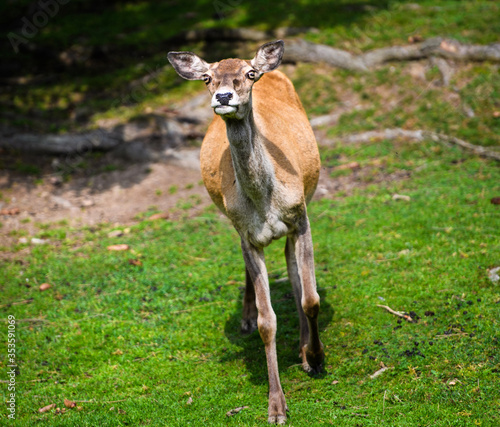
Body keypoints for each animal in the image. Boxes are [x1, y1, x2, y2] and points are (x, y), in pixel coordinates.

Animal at [168, 40, 324, 424]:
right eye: (207, 77)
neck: (265, 201)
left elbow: (311, 299)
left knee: (294, 270)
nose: (224, 96)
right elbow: (269, 323)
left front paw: (314, 358)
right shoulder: (249, 236)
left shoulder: (302, 218)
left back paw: (303, 346)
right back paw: (246, 317)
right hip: (236, 226)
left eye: (249, 74)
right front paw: (277, 407)